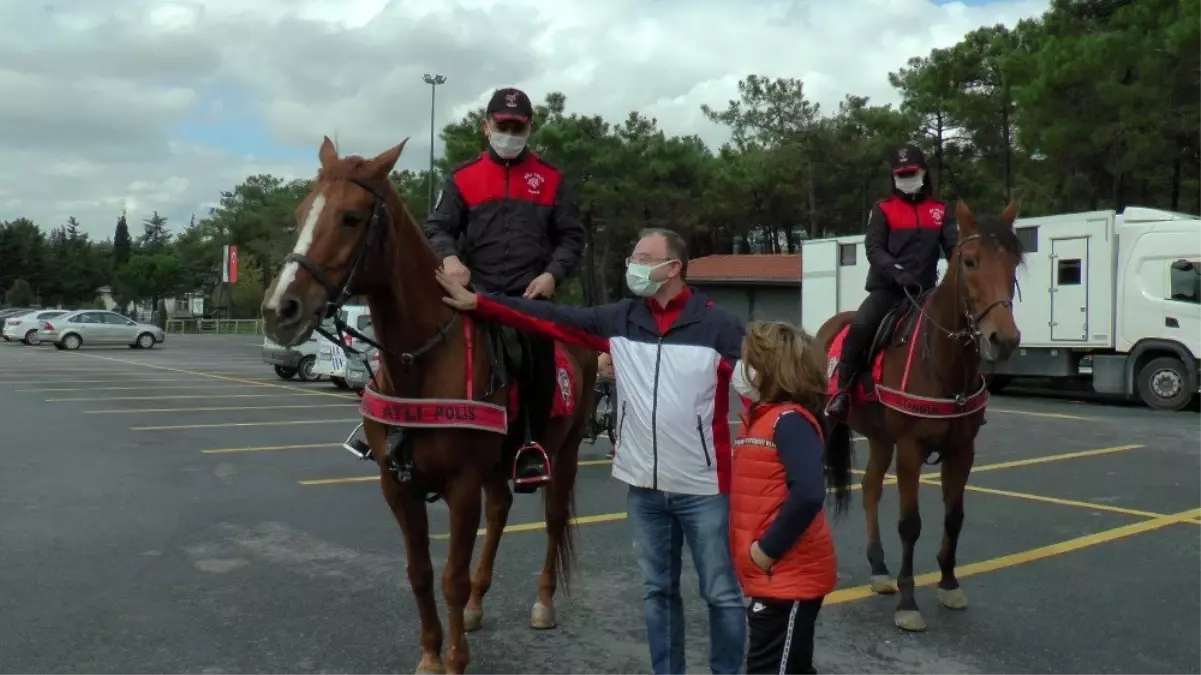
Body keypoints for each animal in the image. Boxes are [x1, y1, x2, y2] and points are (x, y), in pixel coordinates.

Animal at [264, 138, 600, 672]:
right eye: (301, 213)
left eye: (351, 218)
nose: (280, 310)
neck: (418, 364)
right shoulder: (397, 486)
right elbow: (420, 573)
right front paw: (429, 653)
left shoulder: (462, 486)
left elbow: (451, 578)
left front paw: (455, 658)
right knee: (501, 510)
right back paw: (481, 603)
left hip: (562, 454)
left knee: (551, 522)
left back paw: (543, 603)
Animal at [816, 198, 1023, 629]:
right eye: (970, 261)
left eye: (1013, 262)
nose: (1005, 339)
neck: (943, 363)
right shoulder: (911, 448)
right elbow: (910, 525)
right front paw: (908, 602)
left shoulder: (962, 451)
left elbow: (954, 517)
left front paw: (948, 584)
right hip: (826, 421)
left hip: (880, 438)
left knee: (870, 487)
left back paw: (879, 569)